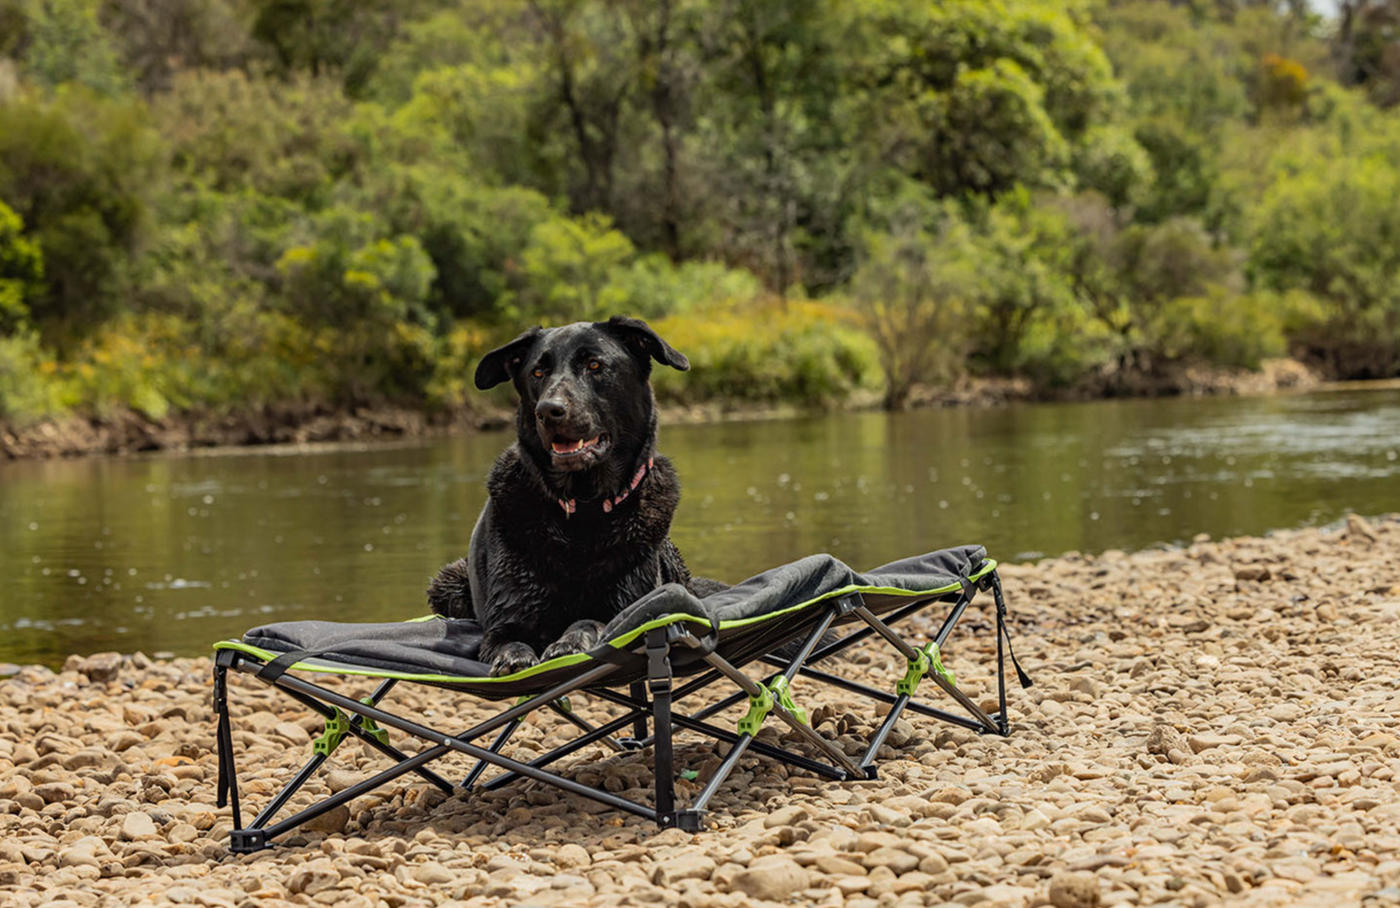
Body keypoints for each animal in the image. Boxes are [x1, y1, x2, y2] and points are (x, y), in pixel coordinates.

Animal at [422, 314, 722, 677]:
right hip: (449, 581)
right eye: (537, 373)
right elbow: (508, 639)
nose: (548, 410)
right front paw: (513, 658)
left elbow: (588, 621)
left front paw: (568, 642)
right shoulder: (505, 620)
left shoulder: (629, 610)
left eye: (594, 365)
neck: (585, 510)